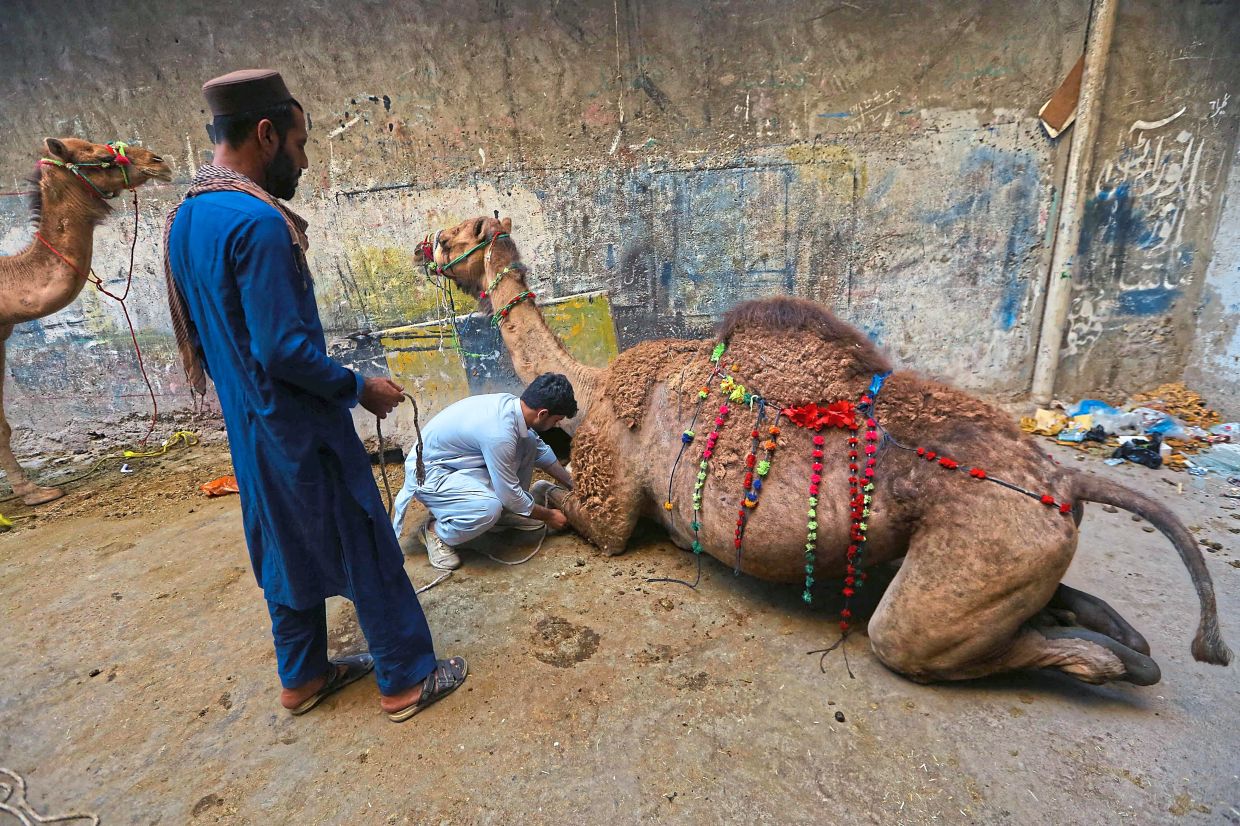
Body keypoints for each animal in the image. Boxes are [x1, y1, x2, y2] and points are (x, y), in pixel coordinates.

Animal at [417, 215, 1231, 688]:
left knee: (908, 640)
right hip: (1021, 543)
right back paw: (1124, 637)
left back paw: (1123, 659)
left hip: (981, 546)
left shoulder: (611, 501)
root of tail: (1065, 476)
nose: (421, 246)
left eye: (456, 235)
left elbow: (569, 507)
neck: (592, 383)